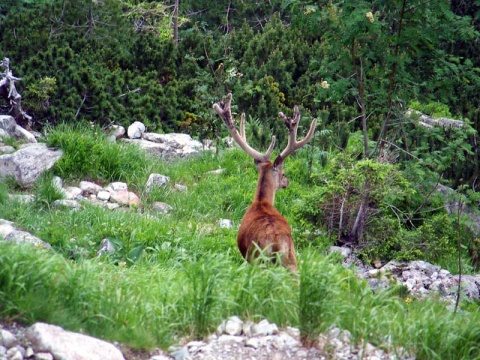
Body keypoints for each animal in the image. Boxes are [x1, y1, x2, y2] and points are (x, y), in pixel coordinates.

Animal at [213, 93, 316, 270]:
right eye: (283, 173)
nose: (287, 181)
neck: (262, 201)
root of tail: (276, 242)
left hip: (259, 260)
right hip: (289, 257)